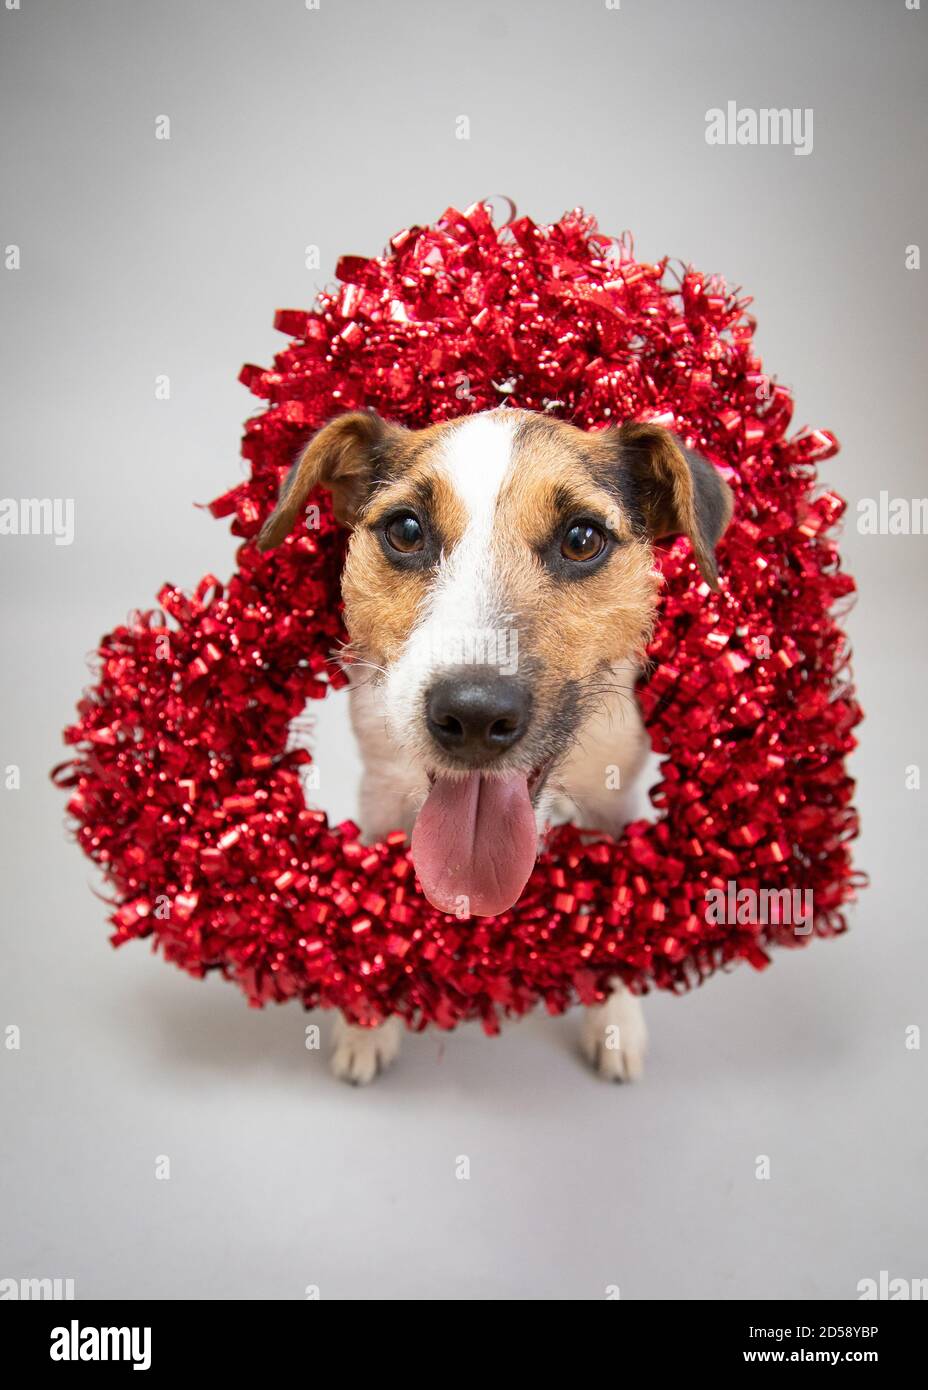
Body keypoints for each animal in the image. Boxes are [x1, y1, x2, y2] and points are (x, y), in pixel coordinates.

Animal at [255, 408, 733, 1084]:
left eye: (582, 539)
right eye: (405, 531)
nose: (474, 714)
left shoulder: (611, 802)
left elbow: (617, 911)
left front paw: (614, 1017)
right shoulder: (381, 791)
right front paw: (367, 1020)